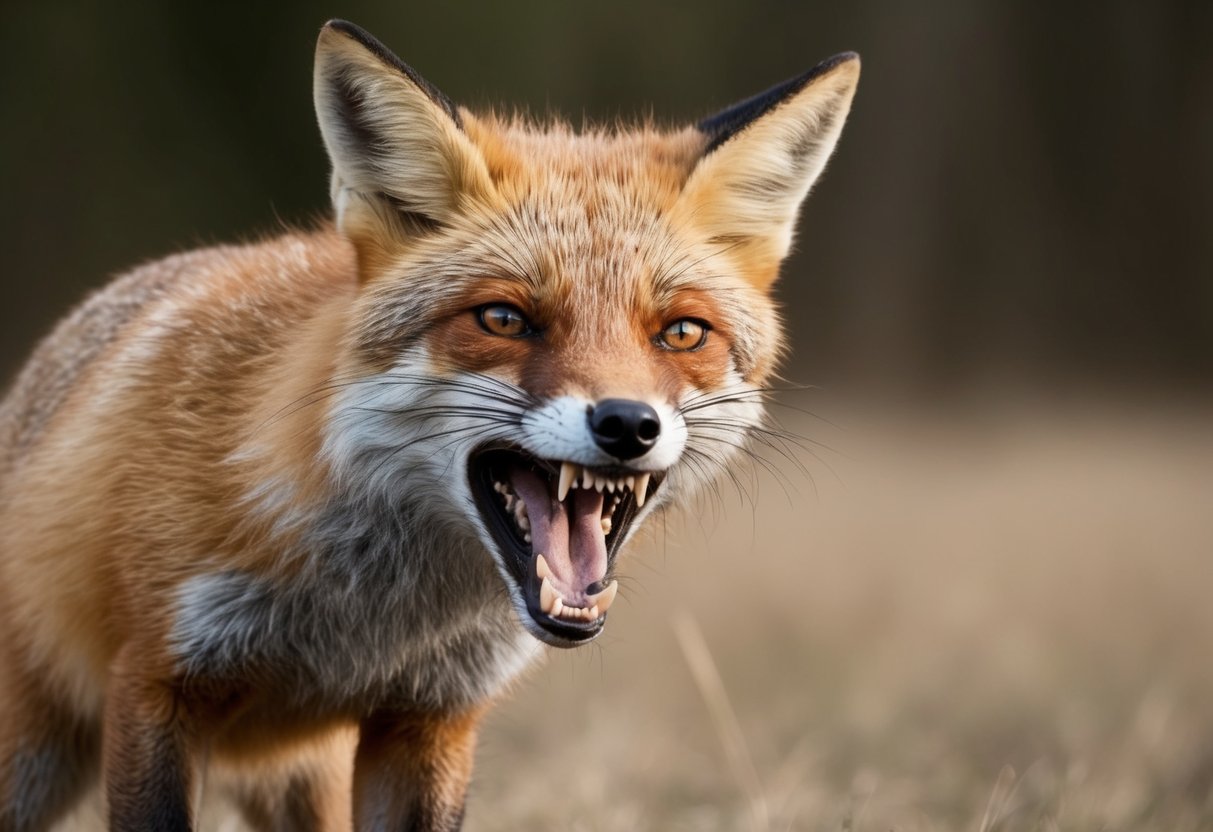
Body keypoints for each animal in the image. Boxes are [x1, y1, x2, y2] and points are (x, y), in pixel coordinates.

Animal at [0, 18, 858, 832]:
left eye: (681, 333)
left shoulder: (429, 718)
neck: (370, 623)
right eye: (504, 319)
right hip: (30, 762)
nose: (627, 424)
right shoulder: (155, 682)